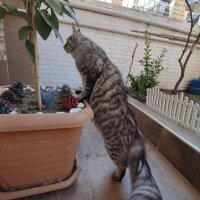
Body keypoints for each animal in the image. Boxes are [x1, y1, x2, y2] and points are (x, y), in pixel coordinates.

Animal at [64, 25, 162, 200]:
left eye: (67, 41)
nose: (63, 46)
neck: (84, 49)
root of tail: (137, 139)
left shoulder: (92, 73)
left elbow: (87, 90)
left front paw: (79, 96)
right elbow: (83, 87)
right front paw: (78, 91)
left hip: (112, 148)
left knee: (123, 167)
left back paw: (116, 176)